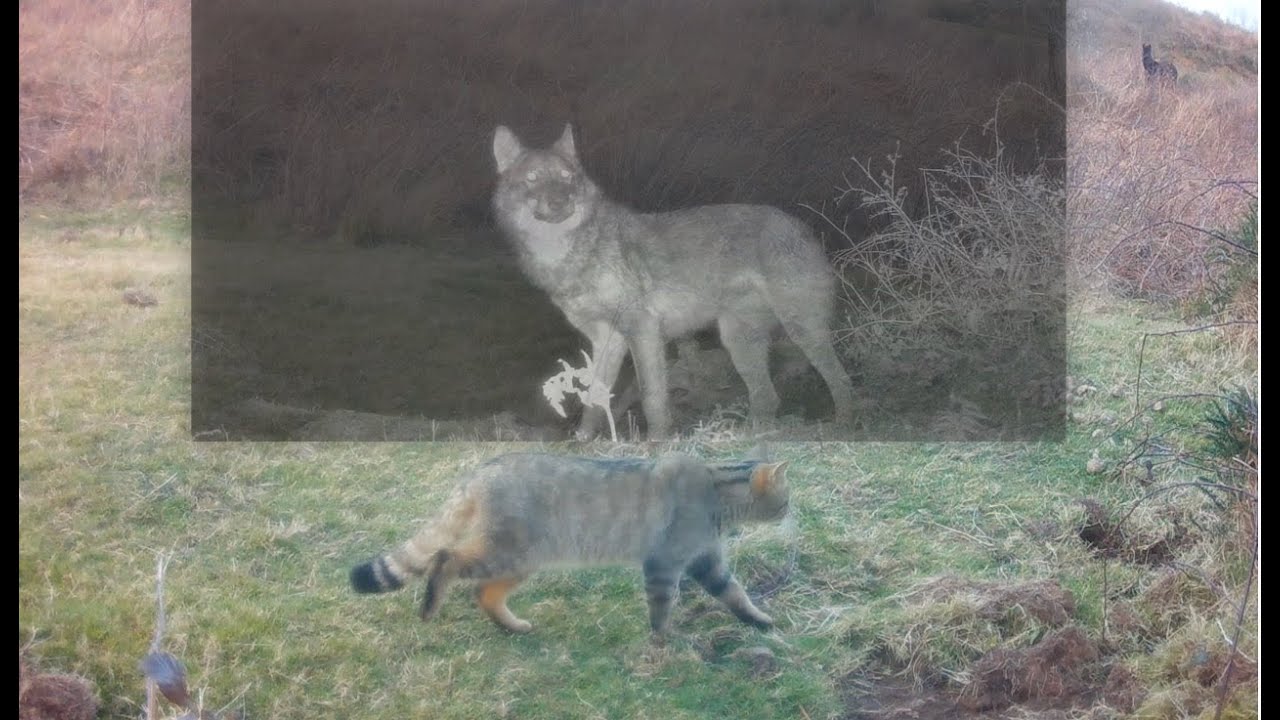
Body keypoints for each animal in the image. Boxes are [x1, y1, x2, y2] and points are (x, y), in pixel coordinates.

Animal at [349, 452, 789, 638]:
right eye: (786, 501)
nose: (790, 513)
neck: (718, 491)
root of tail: (480, 471)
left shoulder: (706, 560)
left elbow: (735, 594)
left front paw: (758, 620)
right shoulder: (664, 563)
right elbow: (663, 606)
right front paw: (664, 637)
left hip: (522, 559)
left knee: (484, 593)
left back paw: (512, 626)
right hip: (505, 551)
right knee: (446, 559)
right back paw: (430, 605)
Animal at [491, 124, 855, 440]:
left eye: (567, 177)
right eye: (533, 179)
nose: (561, 201)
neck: (572, 253)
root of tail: (803, 227)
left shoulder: (642, 330)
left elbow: (652, 397)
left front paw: (657, 442)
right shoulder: (607, 340)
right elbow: (595, 398)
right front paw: (583, 440)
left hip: (802, 332)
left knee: (840, 380)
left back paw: (845, 422)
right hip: (739, 342)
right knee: (767, 398)